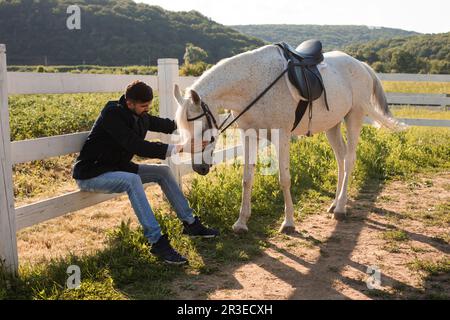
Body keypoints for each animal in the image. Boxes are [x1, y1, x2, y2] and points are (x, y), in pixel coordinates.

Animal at [172, 43, 404, 234]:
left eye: (202, 128)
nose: (200, 168)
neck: (255, 84)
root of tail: (361, 65)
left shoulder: (281, 136)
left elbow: (284, 179)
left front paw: (289, 223)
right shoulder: (249, 135)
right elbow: (247, 179)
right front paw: (241, 223)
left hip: (354, 117)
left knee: (350, 160)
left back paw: (340, 208)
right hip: (333, 126)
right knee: (341, 158)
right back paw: (335, 203)